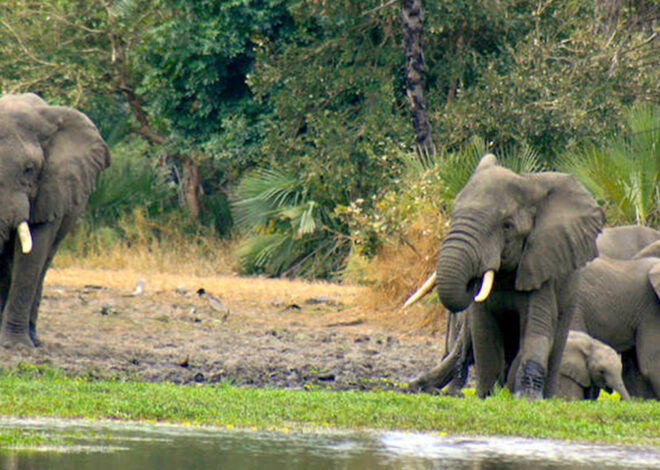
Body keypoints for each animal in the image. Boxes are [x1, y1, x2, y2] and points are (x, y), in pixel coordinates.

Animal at [0, 93, 110, 347]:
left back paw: (33, 339)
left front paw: (16, 345)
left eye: (29, 169)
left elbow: (33, 253)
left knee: (42, 264)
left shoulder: (51, 189)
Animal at [406, 154, 605, 399]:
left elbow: (536, 330)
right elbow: (484, 333)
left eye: (507, 226)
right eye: (452, 216)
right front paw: (487, 396)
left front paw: (528, 399)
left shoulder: (541, 267)